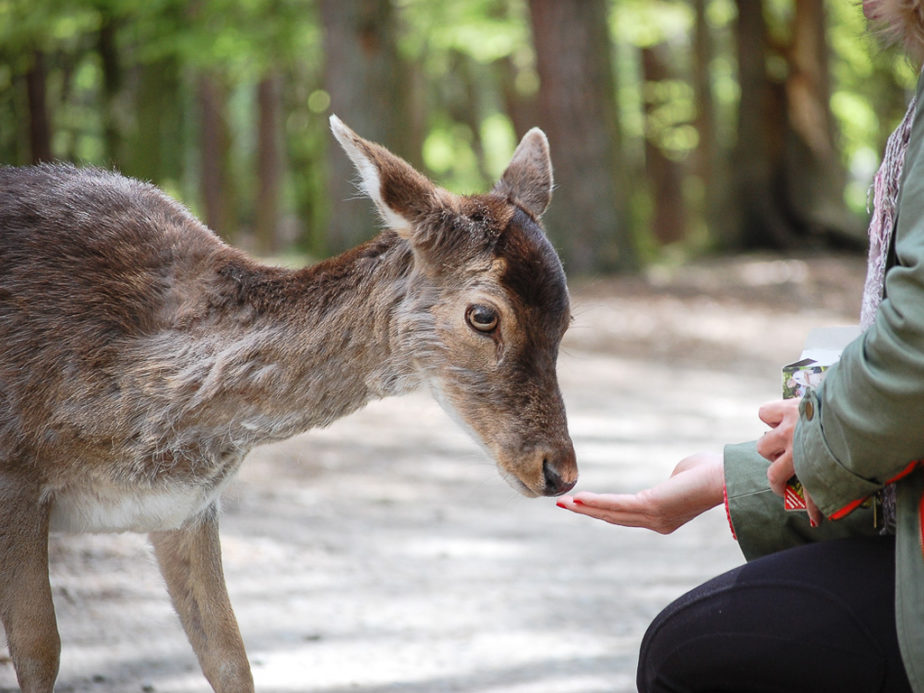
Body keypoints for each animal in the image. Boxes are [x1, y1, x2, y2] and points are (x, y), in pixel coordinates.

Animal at [0, 116, 576, 688]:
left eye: (566, 318)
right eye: (483, 315)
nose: (559, 471)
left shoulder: (183, 507)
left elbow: (230, 658)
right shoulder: (15, 481)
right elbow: (39, 648)